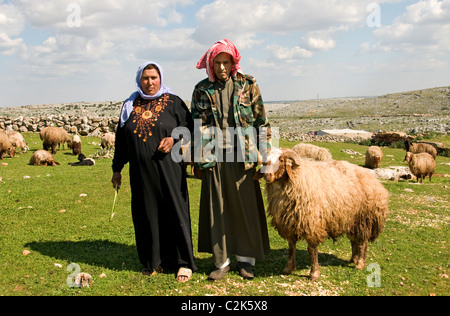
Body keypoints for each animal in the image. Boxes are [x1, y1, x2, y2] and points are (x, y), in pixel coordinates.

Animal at [256, 148, 390, 282]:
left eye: (281, 160)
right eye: (264, 160)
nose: (267, 175)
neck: (297, 177)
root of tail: (376, 181)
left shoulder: (312, 223)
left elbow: (312, 250)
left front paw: (314, 273)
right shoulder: (288, 223)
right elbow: (291, 247)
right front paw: (289, 268)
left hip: (364, 219)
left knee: (363, 241)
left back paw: (360, 263)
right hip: (351, 219)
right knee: (354, 241)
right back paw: (353, 259)